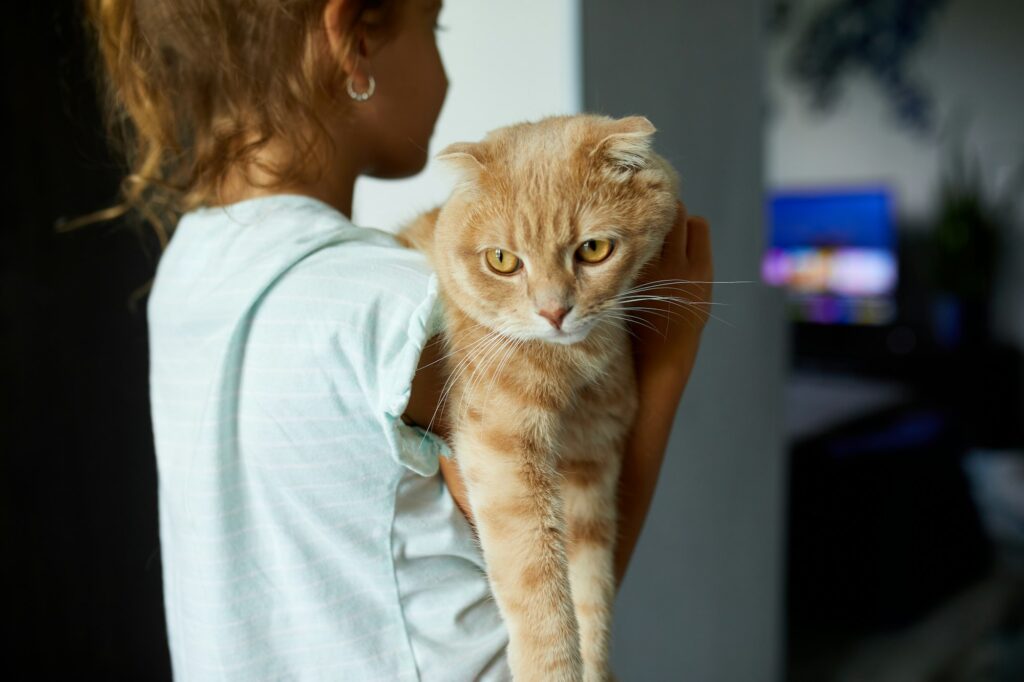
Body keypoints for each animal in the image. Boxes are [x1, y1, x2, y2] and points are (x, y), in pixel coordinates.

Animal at [397, 112, 679, 679]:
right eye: (502, 260)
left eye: (593, 249)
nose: (554, 312)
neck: (574, 368)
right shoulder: (502, 450)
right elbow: (538, 587)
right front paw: (554, 670)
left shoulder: (595, 462)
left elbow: (591, 589)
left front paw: (595, 666)